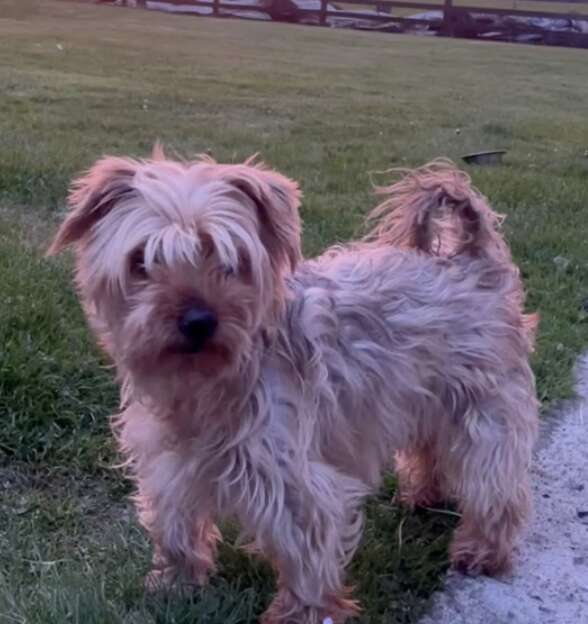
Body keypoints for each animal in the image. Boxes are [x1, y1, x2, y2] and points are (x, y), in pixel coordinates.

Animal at [48, 152, 540, 624]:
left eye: (231, 261)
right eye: (141, 261)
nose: (198, 320)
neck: (208, 384)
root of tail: (472, 261)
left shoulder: (292, 476)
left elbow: (305, 545)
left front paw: (303, 612)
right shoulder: (170, 461)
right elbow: (174, 525)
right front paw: (174, 583)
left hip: (485, 408)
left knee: (494, 480)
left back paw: (483, 549)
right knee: (430, 448)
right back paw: (422, 494)